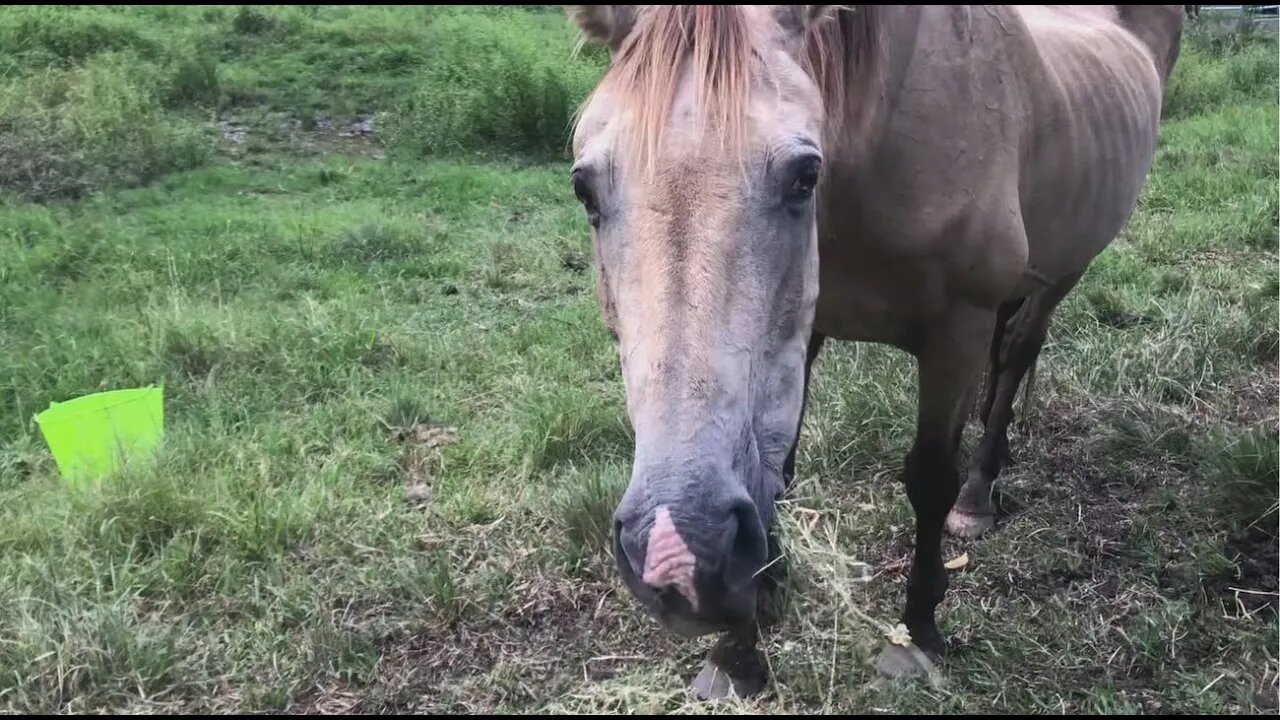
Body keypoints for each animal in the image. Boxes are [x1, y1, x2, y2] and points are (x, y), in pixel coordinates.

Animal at [565, 1, 1182, 696]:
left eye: (805, 175)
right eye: (584, 187)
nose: (680, 553)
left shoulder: (956, 334)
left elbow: (930, 478)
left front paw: (917, 632)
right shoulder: (802, 333)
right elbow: (772, 471)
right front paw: (739, 647)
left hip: (1065, 271)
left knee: (1017, 355)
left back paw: (979, 493)